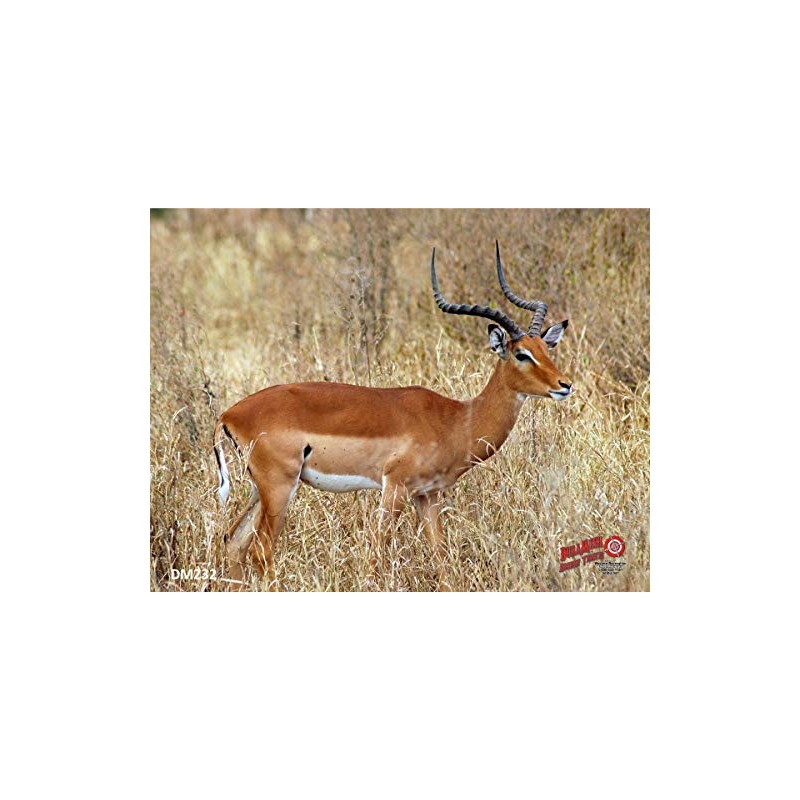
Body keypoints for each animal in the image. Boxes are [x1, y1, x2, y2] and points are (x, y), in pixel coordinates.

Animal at [214, 242, 573, 589]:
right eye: (521, 354)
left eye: (546, 349)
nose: (564, 385)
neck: (455, 420)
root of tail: (229, 414)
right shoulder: (395, 489)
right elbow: (376, 558)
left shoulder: (428, 496)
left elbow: (442, 562)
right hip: (280, 487)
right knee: (261, 551)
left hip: (260, 490)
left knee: (233, 542)